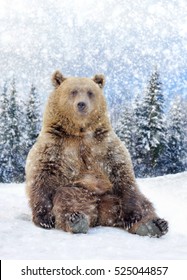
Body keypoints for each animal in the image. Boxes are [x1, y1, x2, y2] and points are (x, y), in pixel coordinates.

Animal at [25, 71, 169, 237]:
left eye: (90, 92)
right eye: (73, 91)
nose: (81, 104)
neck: (79, 132)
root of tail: (101, 212)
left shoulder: (104, 143)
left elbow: (122, 172)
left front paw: (133, 217)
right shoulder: (55, 144)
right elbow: (42, 174)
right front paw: (44, 218)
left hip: (111, 195)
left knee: (143, 202)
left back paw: (154, 224)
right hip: (80, 192)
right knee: (66, 197)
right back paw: (76, 220)